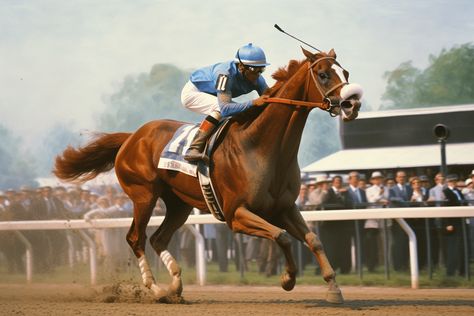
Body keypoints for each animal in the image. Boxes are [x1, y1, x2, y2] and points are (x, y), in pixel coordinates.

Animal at [52, 47, 362, 304]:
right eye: (323, 74)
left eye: (345, 73)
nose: (353, 104)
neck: (262, 146)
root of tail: (132, 137)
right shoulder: (237, 214)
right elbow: (282, 237)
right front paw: (288, 279)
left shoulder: (283, 207)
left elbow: (313, 239)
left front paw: (333, 288)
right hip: (143, 195)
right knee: (136, 238)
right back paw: (156, 289)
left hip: (179, 204)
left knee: (158, 239)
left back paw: (175, 286)